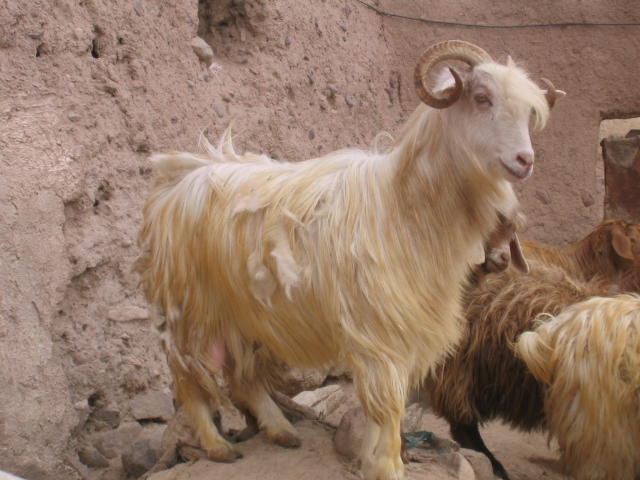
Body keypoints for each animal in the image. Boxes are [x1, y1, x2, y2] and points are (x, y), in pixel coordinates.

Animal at [135, 41, 560, 480]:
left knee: (242, 377)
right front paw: (387, 465)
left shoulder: (404, 328)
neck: (404, 203)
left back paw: (281, 430)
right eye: (481, 97)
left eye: (530, 113)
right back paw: (217, 445)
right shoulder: (380, 330)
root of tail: (177, 177)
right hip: (188, 307)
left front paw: (377, 459)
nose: (524, 160)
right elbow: (387, 405)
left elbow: (384, 406)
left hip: (244, 309)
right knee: (190, 380)